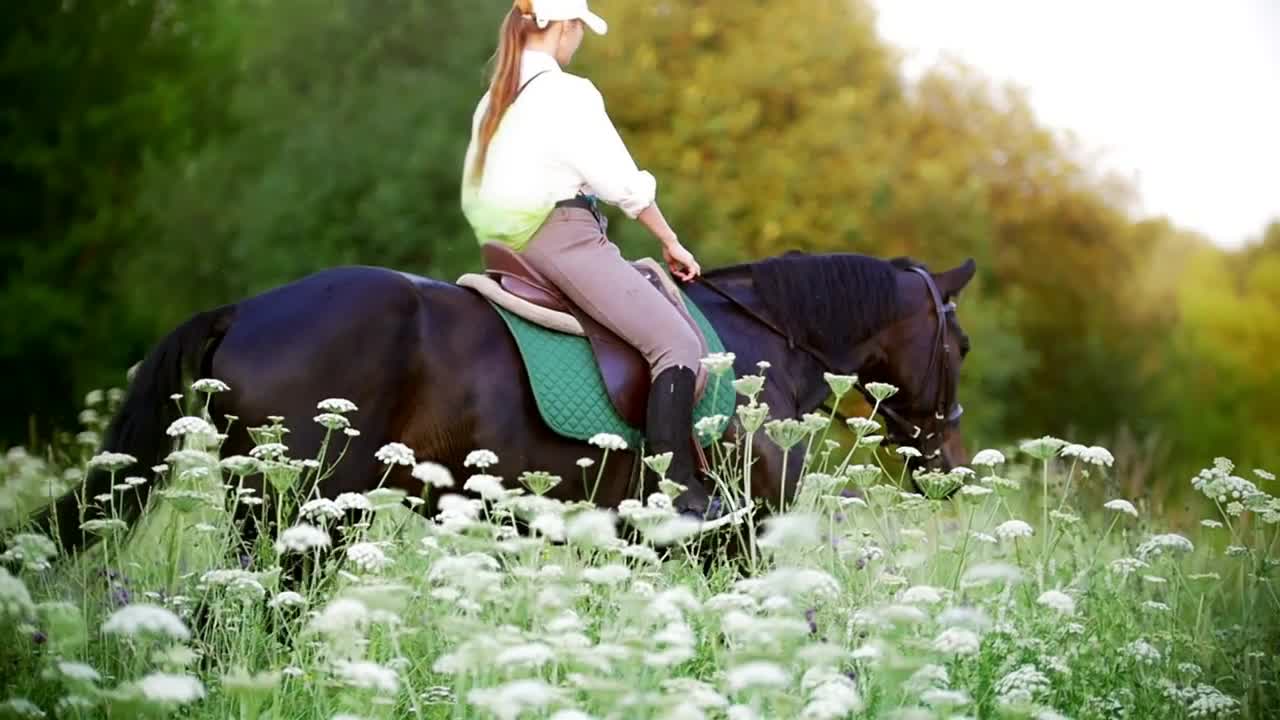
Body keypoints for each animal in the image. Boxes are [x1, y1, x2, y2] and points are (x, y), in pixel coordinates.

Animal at [30, 249, 972, 550]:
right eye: (958, 347)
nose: (951, 467)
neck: (765, 344)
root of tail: (249, 309)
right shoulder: (736, 541)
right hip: (302, 516)